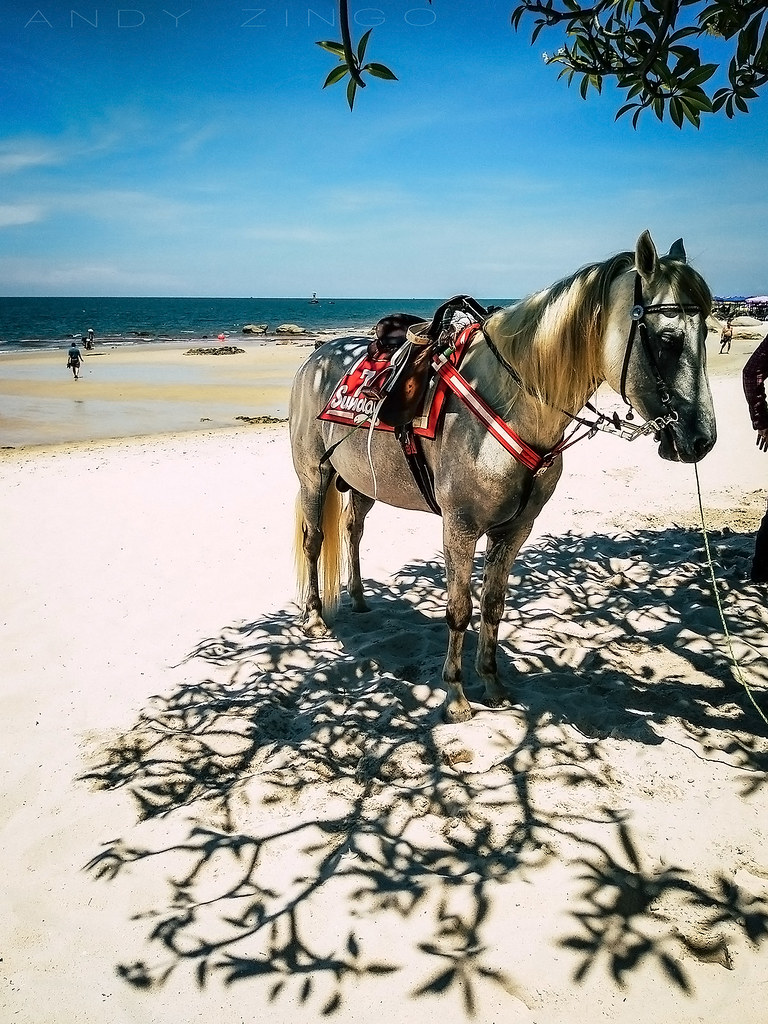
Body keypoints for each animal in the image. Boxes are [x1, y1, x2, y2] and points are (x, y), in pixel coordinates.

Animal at [289, 231, 716, 723]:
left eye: (708, 331)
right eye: (668, 339)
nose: (702, 439)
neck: (511, 400)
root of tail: (315, 357)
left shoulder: (515, 530)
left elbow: (493, 606)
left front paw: (492, 683)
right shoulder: (460, 527)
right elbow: (459, 609)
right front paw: (456, 696)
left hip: (362, 482)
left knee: (354, 530)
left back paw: (358, 598)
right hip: (314, 477)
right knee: (315, 540)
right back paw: (315, 617)